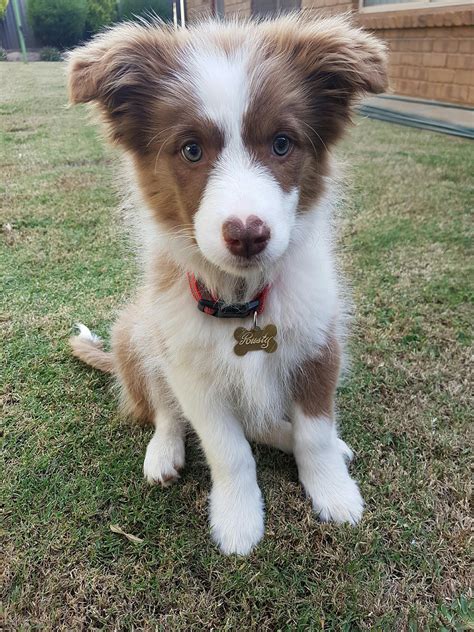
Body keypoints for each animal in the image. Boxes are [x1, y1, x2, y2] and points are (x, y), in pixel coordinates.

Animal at [65, 14, 386, 552]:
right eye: (191, 150)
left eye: (282, 143)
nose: (248, 234)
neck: (242, 297)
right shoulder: (192, 373)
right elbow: (228, 448)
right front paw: (238, 518)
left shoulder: (319, 345)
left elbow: (316, 432)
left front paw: (333, 492)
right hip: (139, 330)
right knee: (164, 410)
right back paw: (164, 452)